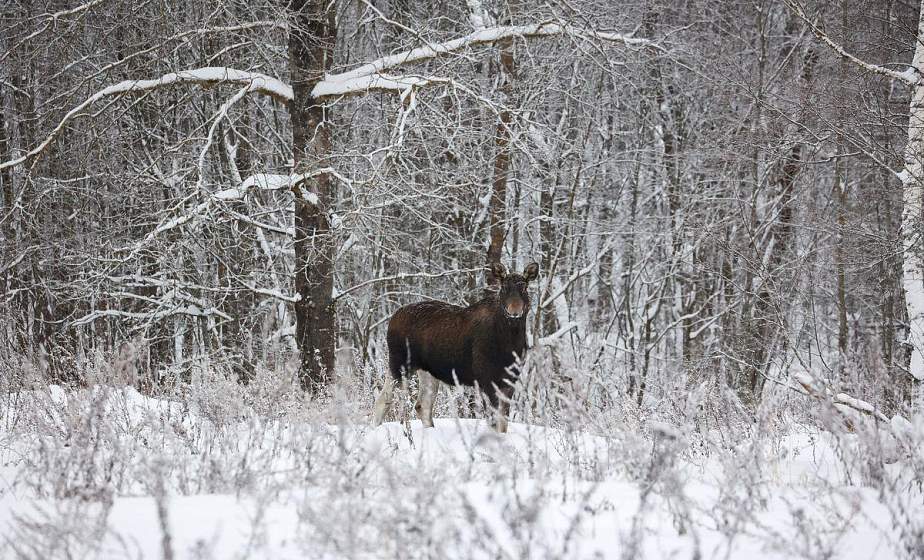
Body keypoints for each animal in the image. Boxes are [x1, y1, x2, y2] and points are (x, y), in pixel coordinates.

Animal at [370, 262, 536, 434]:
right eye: (503, 288)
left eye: (524, 287)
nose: (514, 310)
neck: (510, 342)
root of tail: (392, 319)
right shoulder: (486, 379)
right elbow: (493, 423)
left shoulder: (510, 380)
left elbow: (503, 424)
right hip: (400, 365)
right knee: (384, 400)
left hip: (427, 371)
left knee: (422, 405)